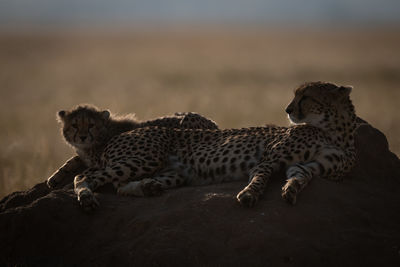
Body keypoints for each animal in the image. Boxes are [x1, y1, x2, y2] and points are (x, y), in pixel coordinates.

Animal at [47, 105, 219, 189]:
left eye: (91, 125)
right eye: (74, 125)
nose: (82, 137)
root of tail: (215, 124)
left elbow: (87, 169)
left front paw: (67, 182)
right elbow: (74, 159)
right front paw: (54, 178)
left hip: (188, 119)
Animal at [72, 81, 356, 211]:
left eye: (305, 96)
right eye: (297, 95)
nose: (287, 109)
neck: (335, 132)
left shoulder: (309, 166)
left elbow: (299, 176)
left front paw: (291, 190)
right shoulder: (270, 158)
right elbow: (260, 177)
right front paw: (249, 194)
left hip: (173, 173)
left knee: (121, 186)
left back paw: (149, 187)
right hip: (145, 157)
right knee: (83, 176)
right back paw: (87, 199)